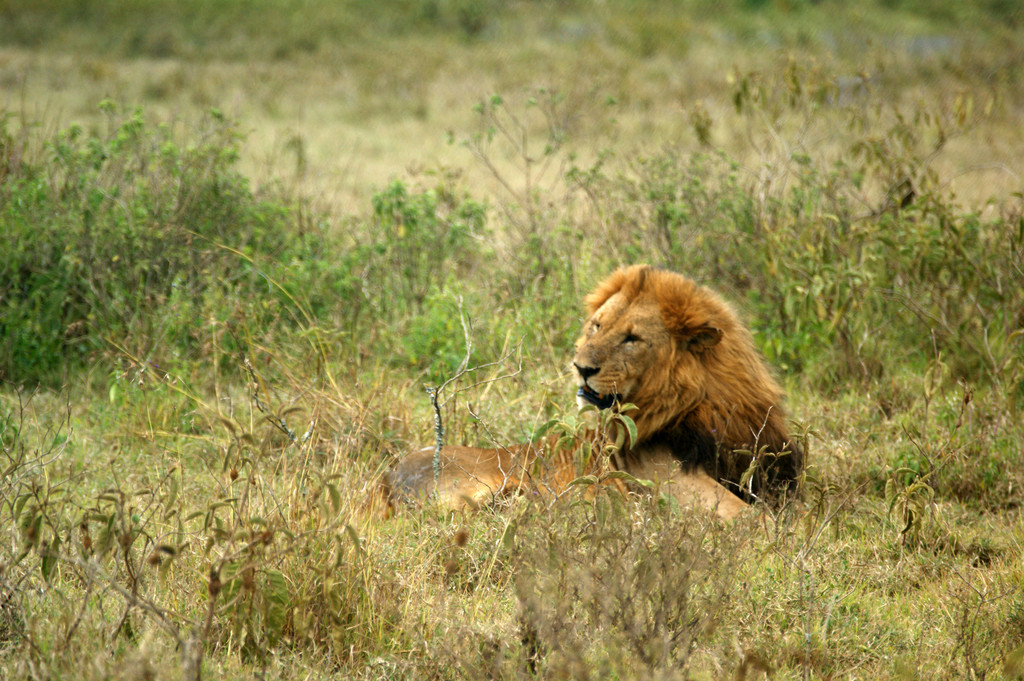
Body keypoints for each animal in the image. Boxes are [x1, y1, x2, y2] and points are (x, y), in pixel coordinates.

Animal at [382, 262, 798, 518]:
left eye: (632, 338)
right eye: (597, 325)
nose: (580, 367)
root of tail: (384, 480)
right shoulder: (675, 490)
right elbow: (762, 525)